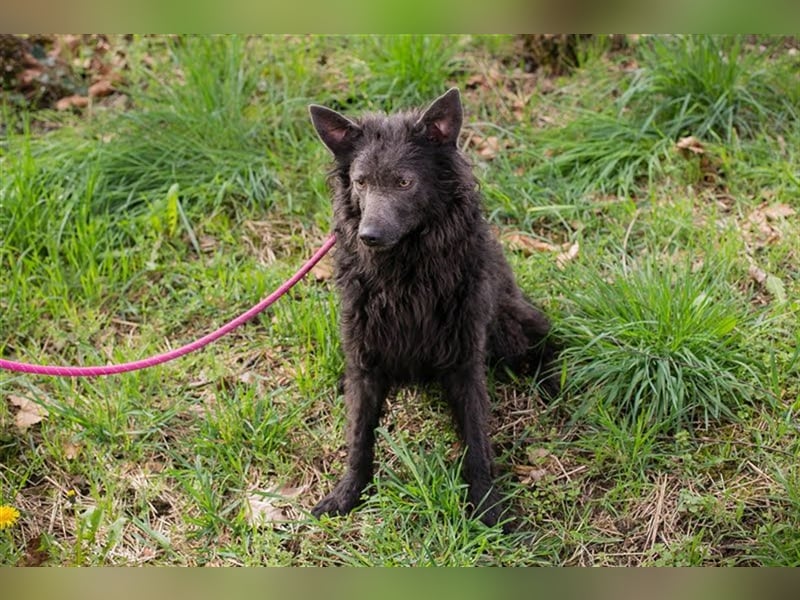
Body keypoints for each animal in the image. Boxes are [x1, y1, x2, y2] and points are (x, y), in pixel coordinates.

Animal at [306, 86, 556, 528]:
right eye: (361, 182)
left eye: (404, 181)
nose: (369, 235)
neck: (406, 274)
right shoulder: (365, 359)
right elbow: (358, 437)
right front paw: (347, 494)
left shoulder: (464, 359)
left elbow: (477, 441)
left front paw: (487, 506)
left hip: (508, 328)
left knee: (550, 341)